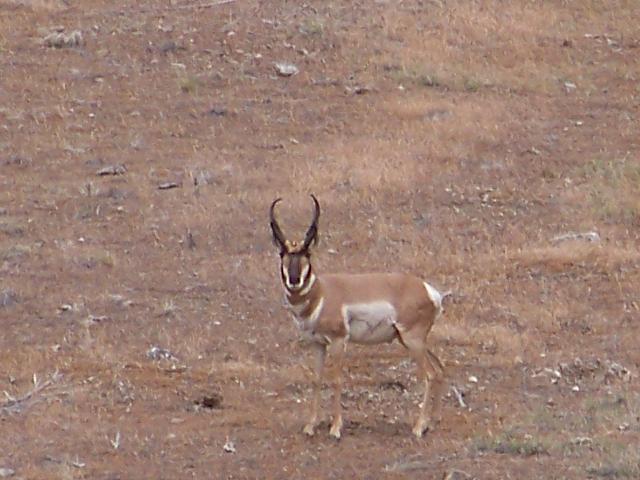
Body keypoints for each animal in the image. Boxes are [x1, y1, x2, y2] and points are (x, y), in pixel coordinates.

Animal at [270, 195, 444, 438]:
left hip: (413, 341)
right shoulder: (317, 344)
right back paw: (432, 423)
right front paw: (310, 426)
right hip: (411, 340)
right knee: (439, 369)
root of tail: (428, 290)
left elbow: (336, 379)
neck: (321, 292)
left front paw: (335, 428)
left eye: (308, 253)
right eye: (282, 253)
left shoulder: (338, 342)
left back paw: (418, 427)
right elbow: (316, 379)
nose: (294, 280)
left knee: (429, 374)